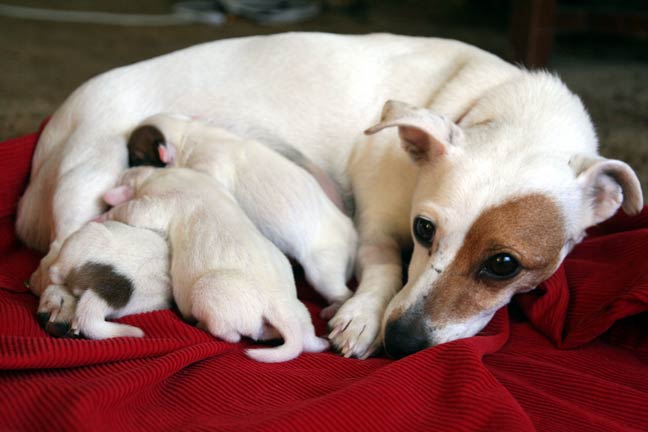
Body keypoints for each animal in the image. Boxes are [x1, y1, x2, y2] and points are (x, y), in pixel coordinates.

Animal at [105, 167, 334, 362]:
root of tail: (278, 304)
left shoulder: (159, 202)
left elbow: (134, 211)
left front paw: (105, 215)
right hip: (299, 312)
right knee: (301, 338)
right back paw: (320, 342)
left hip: (209, 292)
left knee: (231, 335)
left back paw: (202, 324)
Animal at [121, 113, 356, 318]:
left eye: (135, 156)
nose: (125, 170)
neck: (189, 134)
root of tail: (352, 234)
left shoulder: (208, 167)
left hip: (323, 266)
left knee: (342, 292)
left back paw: (334, 308)